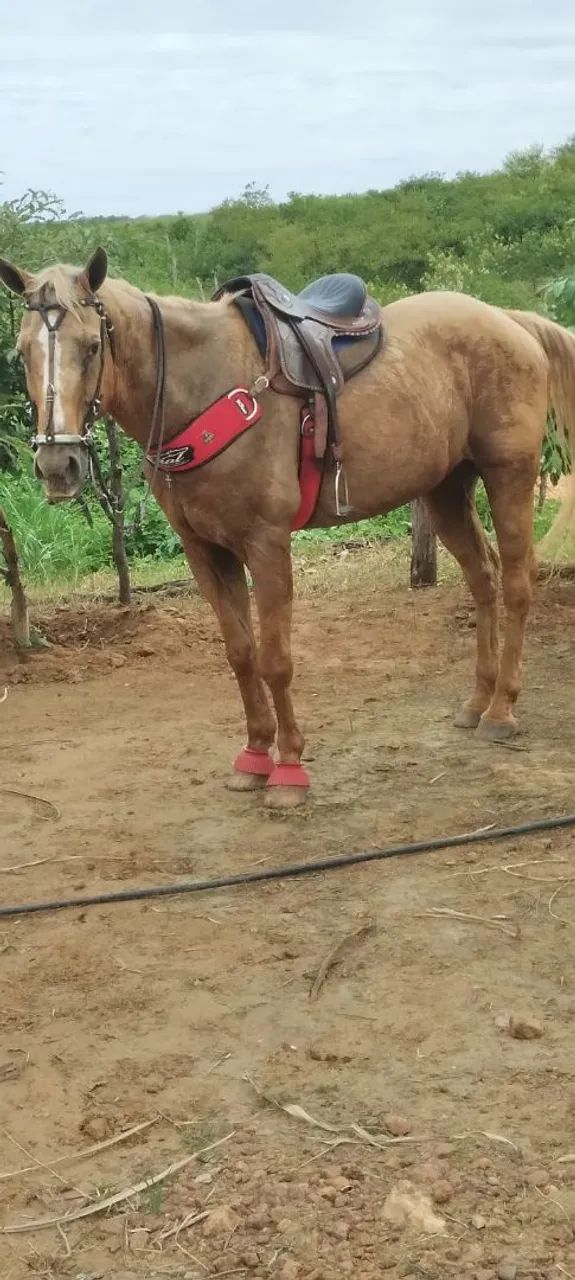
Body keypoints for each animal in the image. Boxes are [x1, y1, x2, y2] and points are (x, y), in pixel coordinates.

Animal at [1, 249, 574, 809]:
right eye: (22, 351)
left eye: (93, 346)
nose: (57, 465)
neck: (204, 388)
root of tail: (509, 320)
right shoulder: (205, 550)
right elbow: (241, 654)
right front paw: (255, 756)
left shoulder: (266, 543)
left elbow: (276, 660)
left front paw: (290, 769)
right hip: (446, 490)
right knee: (483, 579)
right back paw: (477, 701)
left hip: (509, 475)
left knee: (517, 583)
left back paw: (501, 711)